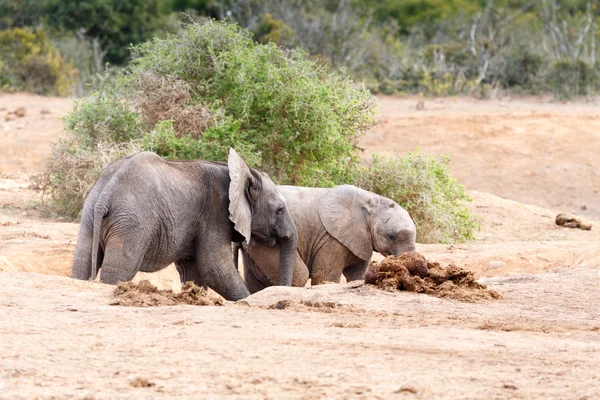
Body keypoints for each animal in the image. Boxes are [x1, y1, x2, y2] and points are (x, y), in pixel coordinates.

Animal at [72, 148, 298, 300]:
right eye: (280, 210)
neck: (244, 173)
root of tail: (107, 192)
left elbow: (193, 271)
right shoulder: (214, 215)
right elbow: (216, 269)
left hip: (91, 215)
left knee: (82, 263)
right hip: (131, 222)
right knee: (120, 269)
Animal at [239, 184, 418, 294]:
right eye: (391, 236)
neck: (372, 202)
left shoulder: (361, 240)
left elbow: (356, 275)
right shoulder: (331, 239)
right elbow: (325, 277)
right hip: (267, 241)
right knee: (300, 276)